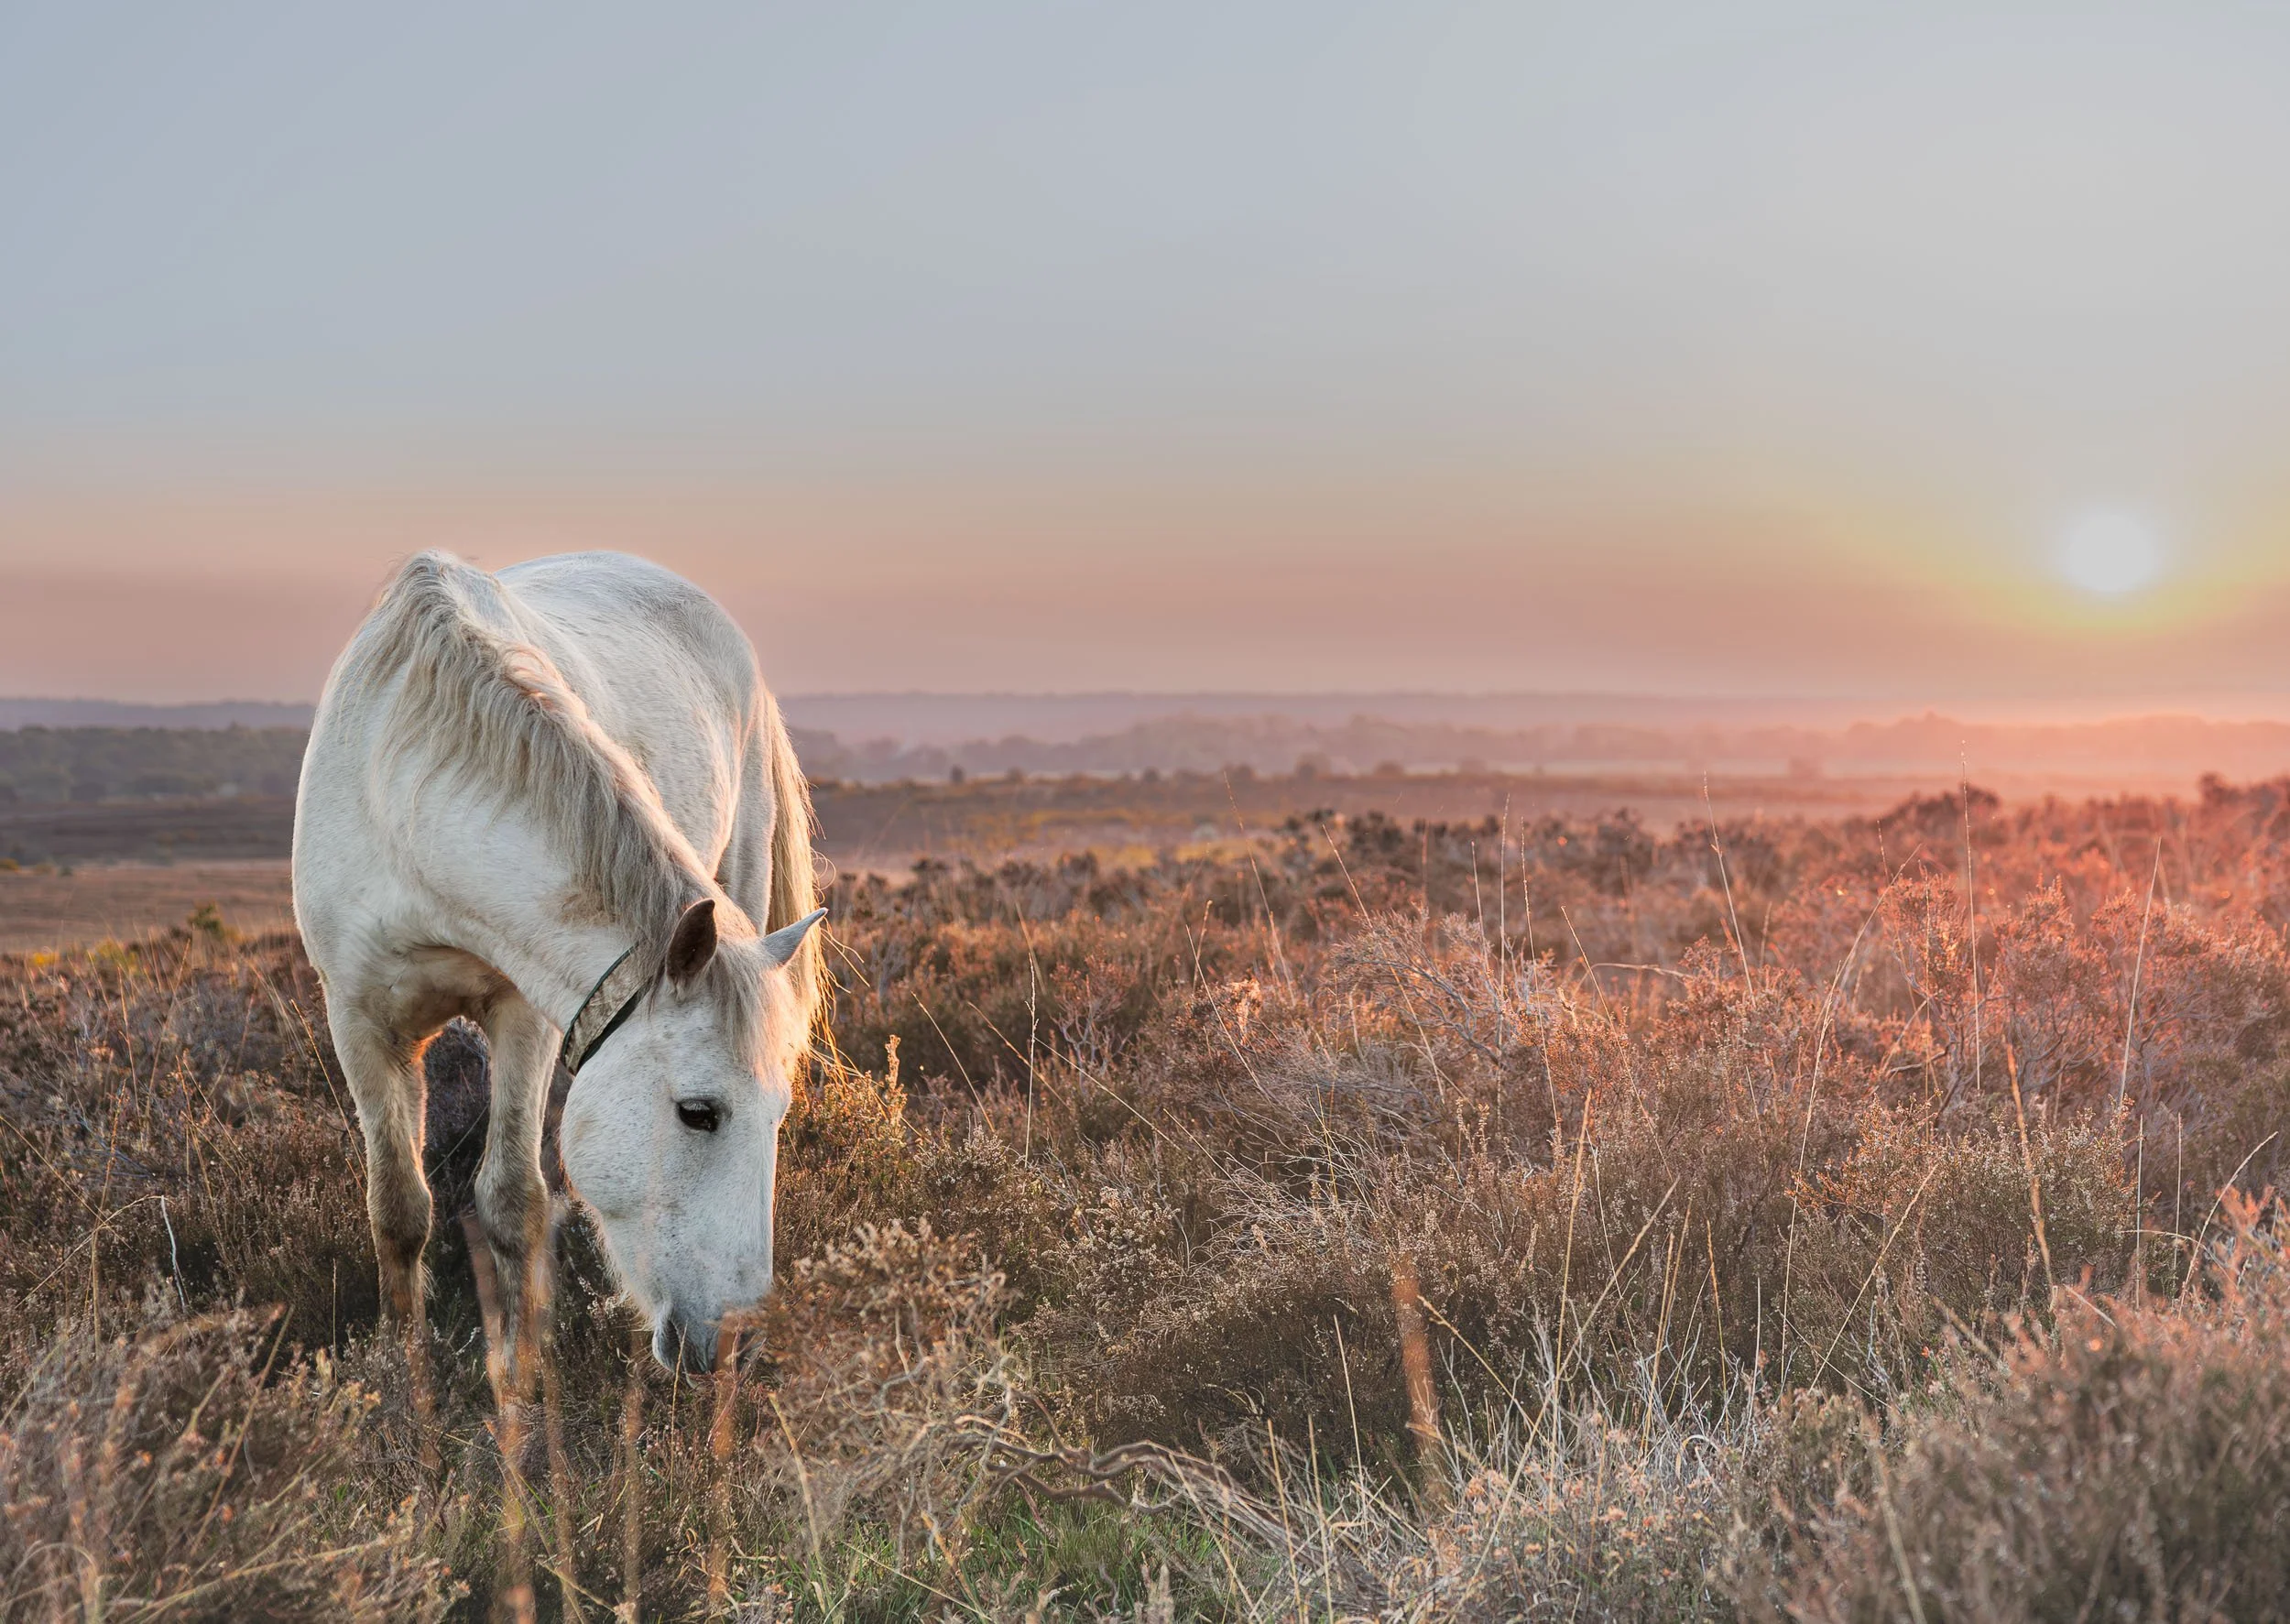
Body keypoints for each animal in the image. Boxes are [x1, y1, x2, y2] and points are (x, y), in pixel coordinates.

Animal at [293, 550, 826, 1378]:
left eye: (780, 1113)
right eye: (698, 1112)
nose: (738, 1342)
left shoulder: (528, 1015)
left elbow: (513, 1198)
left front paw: (520, 1369)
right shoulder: (358, 1018)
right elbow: (399, 1206)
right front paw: (401, 1363)